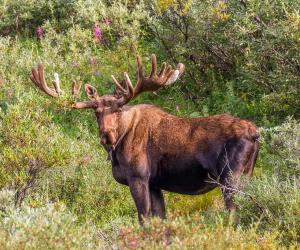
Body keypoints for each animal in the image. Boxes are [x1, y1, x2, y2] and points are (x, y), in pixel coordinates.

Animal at [31, 54, 260, 223]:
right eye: (96, 112)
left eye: (118, 109)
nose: (106, 135)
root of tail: (255, 134)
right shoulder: (154, 183)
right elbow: (159, 218)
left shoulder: (138, 176)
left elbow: (144, 219)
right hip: (247, 173)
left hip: (229, 176)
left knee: (234, 211)